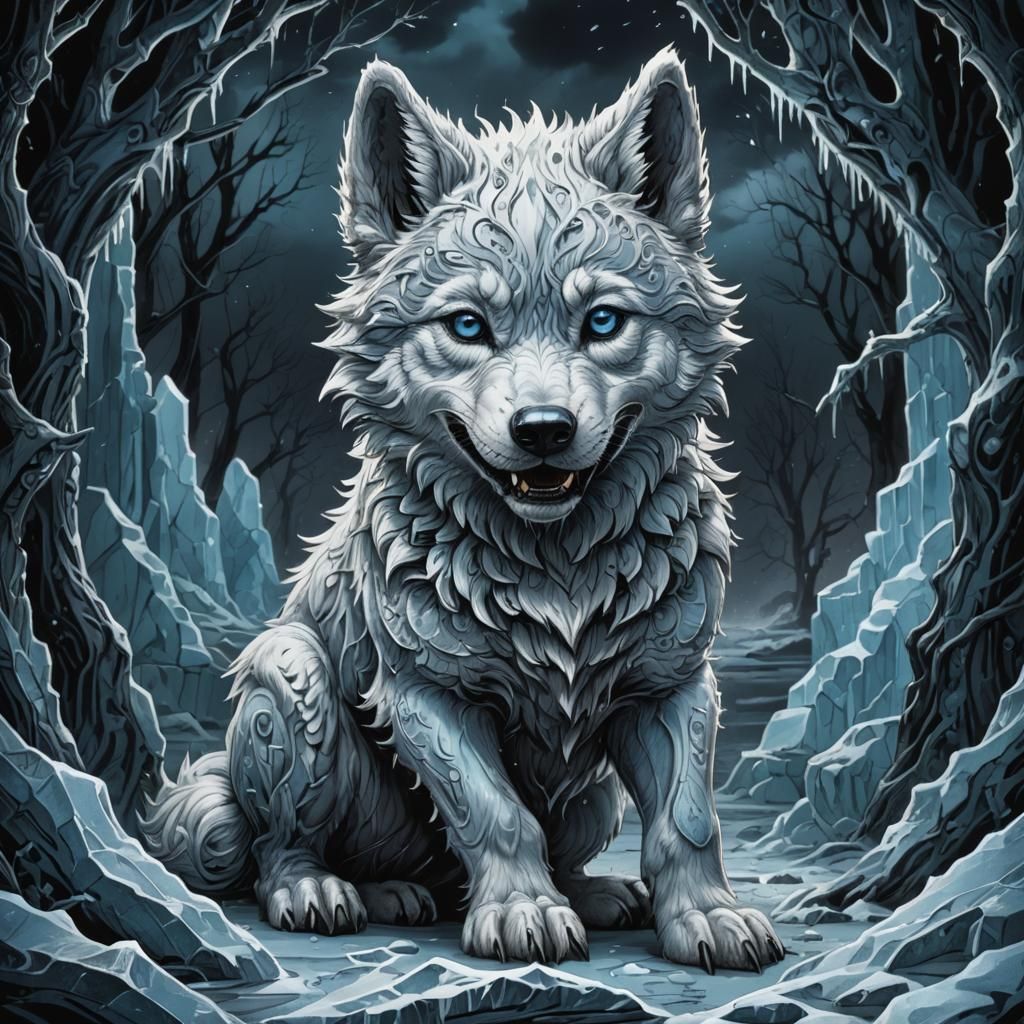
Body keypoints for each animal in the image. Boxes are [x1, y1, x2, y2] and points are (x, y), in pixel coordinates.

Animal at [142, 48, 782, 972]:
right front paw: (523, 912)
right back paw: (331, 893)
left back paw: (588, 893)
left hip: (594, 796)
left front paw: (707, 917)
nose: (544, 430)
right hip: (289, 677)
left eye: (603, 322)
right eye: (469, 326)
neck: (555, 565)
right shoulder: (425, 696)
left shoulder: (674, 687)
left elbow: (688, 823)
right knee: (278, 848)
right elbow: (496, 814)